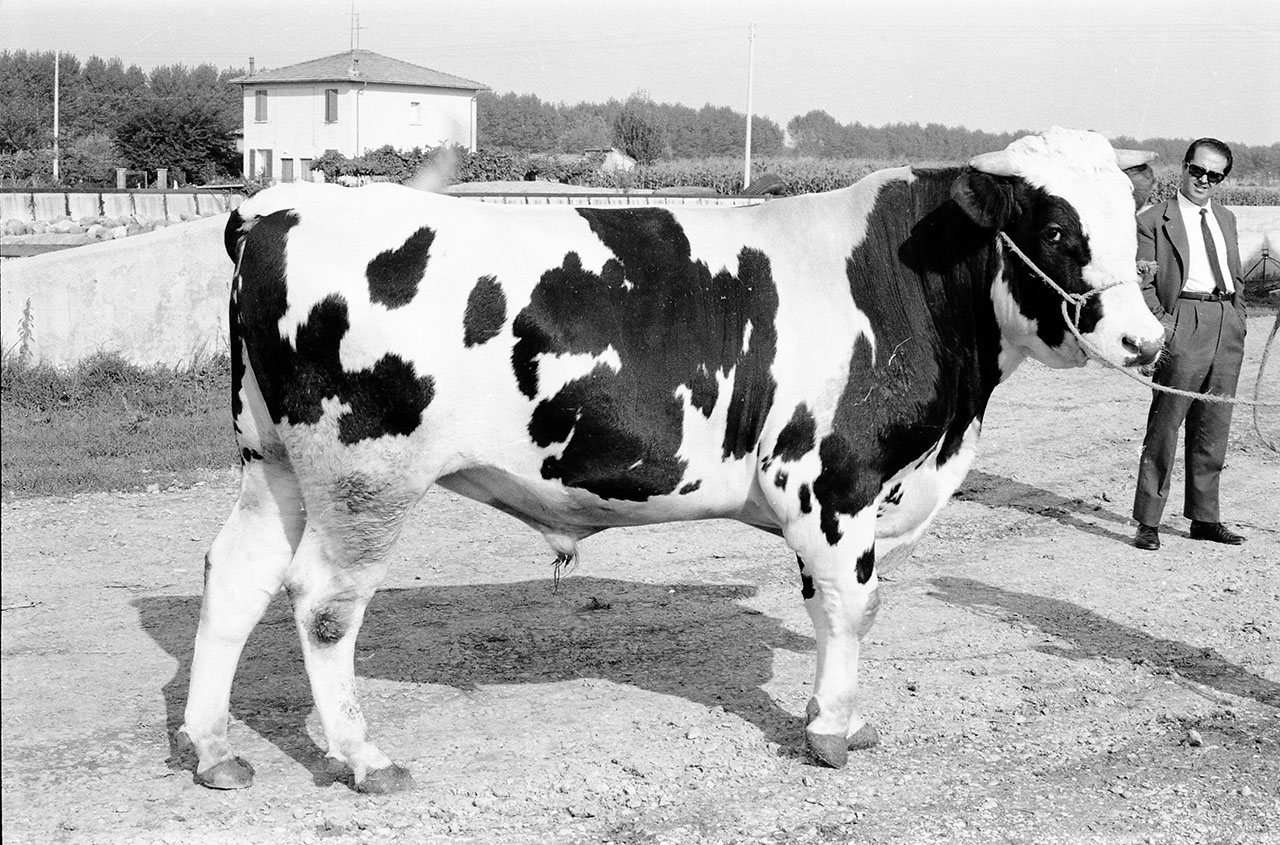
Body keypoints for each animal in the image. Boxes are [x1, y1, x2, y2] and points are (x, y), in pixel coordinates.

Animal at [183, 125, 1172, 793]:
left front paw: (832, 714)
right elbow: (854, 605)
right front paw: (832, 731)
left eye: (1133, 225)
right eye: (1055, 232)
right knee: (322, 605)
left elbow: (826, 609)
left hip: (273, 459)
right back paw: (364, 757)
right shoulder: (830, 479)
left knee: (235, 576)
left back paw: (212, 748)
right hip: (365, 474)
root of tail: (276, 203)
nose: (1147, 339)